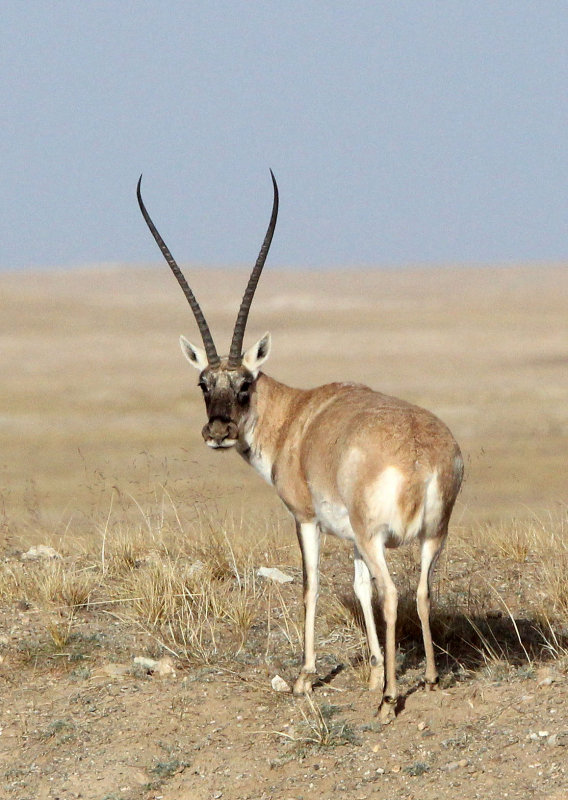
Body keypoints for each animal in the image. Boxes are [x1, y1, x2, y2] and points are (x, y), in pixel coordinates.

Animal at [139, 170, 466, 720]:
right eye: (204, 383)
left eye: (244, 383)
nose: (219, 432)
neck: (293, 415)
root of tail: (423, 456)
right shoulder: (352, 538)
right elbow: (358, 588)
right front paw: (372, 672)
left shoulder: (307, 519)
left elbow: (313, 585)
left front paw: (306, 678)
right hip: (430, 537)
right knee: (420, 592)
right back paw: (428, 679)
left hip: (378, 536)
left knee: (394, 592)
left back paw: (390, 701)